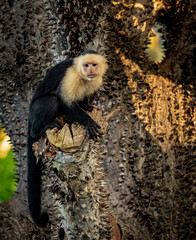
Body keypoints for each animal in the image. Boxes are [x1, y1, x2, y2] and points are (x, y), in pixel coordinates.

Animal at [26, 49, 108, 227]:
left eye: (94, 65)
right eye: (86, 65)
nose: (90, 70)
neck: (83, 76)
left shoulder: (95, 80)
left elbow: (83, 98)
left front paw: (88, 108)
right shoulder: (71, 76)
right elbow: (65, 101)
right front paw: (88, 122)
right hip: (34, 112)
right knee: (51, 100)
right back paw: (38, 131)